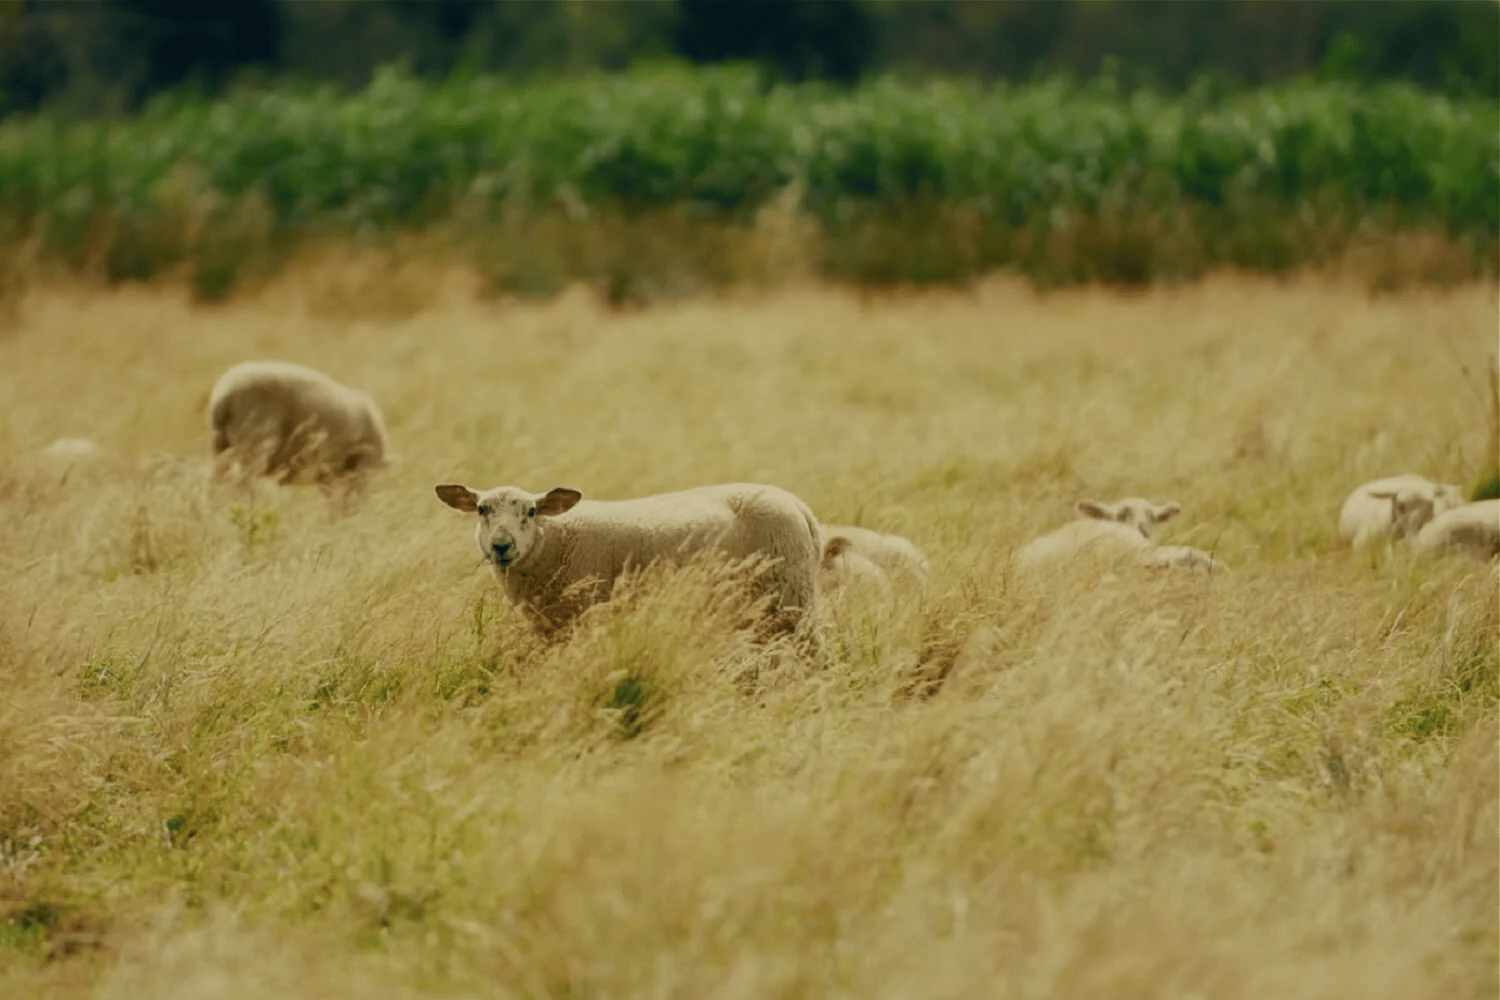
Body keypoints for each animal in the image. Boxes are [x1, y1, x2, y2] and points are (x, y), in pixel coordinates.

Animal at [434, 481, 822, 638]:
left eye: (530, 512)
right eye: (481, 510)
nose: (501, 545)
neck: (554, 539)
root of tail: (801, 508)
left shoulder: (583, 614)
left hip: (791, 597)